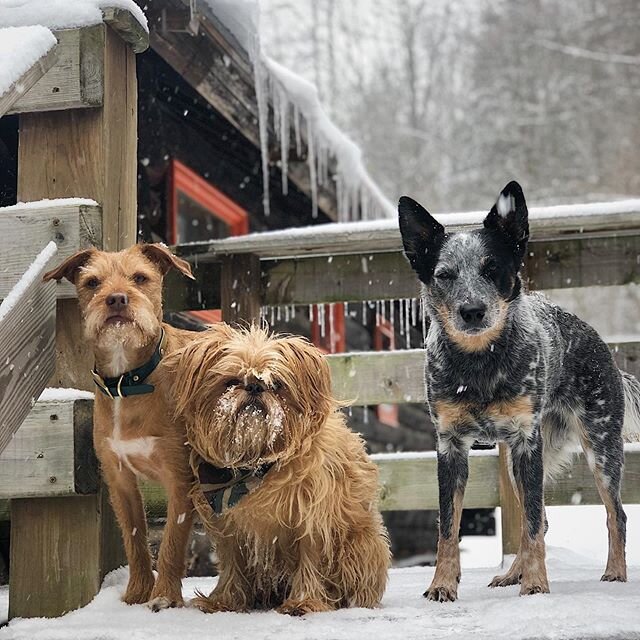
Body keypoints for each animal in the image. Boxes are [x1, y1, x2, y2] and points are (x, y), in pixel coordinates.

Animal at [43, 244, 196, 608]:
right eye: (92, 282)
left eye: (140, 278)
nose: (115, 299)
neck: (129, 380)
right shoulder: (119, 478)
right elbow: (135, 538)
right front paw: (137, 593)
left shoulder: (180, 479)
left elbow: (171, 542)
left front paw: (165, 597)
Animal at [165, 324, 390, 616]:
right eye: (231, 381)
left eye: (277, 385)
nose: (254, 386)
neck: (256, 462)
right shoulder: (228, 527)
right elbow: (231, 563)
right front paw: (224, 600)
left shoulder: (313, 519)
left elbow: (311, 560)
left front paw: (304, 601)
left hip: (360, 545)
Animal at [398, 182, 640, 604]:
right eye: (444, 275)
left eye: (492, 268)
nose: (472, 310)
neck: (479, 366)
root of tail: (598, 340)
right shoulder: (450, 446)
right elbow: (448, 527)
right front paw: (442, 584)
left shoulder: (527, 441)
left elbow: (529, 524)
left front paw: (537, 584)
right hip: (515, 462)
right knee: (540, 518)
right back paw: (513, 573)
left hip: (599, 445)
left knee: (614, 514)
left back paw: (614, 572)